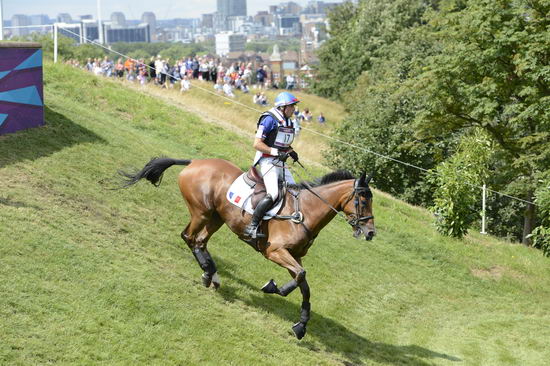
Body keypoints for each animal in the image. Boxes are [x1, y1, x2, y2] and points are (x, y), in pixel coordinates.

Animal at [121, 156, 378, 338]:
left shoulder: (295, 257)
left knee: (199, 241)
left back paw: (211, 275)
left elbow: (304, 284)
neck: (305, 211)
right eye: (362, 200)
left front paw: (301, 325)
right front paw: (274, 288)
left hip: (216, 217)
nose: (370, 233)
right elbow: (300, 277)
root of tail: (195, 162)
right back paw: (209, 273)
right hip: (201, 212)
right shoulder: (275, 251)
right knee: (189, 237)